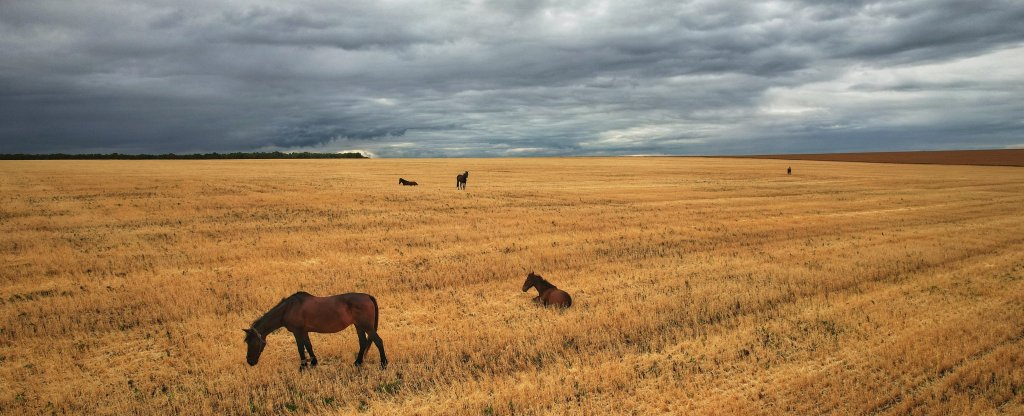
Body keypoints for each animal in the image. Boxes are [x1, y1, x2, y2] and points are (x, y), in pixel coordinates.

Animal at [243, 293, 387, 370]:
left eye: (252, 342)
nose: (250, 362)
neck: (288, 308)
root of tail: (368, 296)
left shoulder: (297, 332)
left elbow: (301, 348)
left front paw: (302, 367)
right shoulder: (304, 331)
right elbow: (308, 346)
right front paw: (313, 362)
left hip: (367, 326)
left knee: (378, 341)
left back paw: (383, 364)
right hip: (359, 326)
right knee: (363, 343)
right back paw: (358, 362)